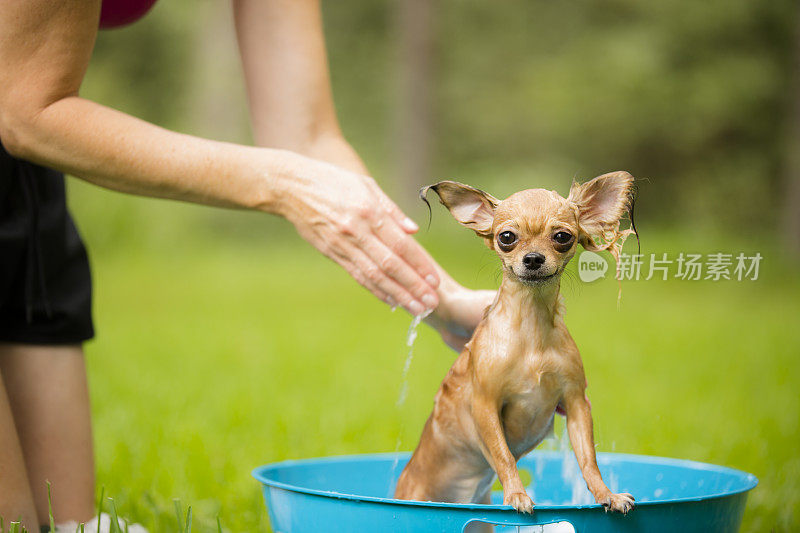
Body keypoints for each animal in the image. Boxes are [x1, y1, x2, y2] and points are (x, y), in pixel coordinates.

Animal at [396, 172, 636, 516]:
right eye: (507, 237)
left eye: (562, 237)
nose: (533, 258)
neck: (531, 331)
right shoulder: (485, 405)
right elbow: (504, 456)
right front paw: (517, 495)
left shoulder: (576, 402)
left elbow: (589, 460)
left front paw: (607, 494)